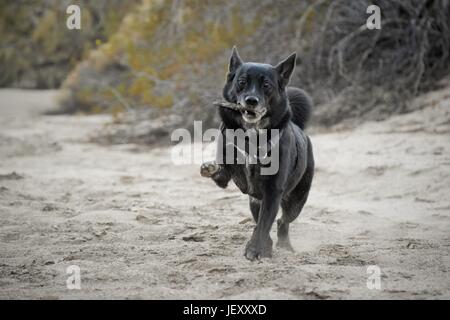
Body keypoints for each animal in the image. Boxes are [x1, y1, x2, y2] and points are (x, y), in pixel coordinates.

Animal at [200, 48, 312, 262]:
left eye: (266, 85)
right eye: (242, 82)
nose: (251, 101)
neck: (252, 136)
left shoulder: (273, 191)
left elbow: (264, 224)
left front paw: (255, 250)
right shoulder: (227, 175)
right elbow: (222, 171)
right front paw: (210, 167)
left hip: (296, 200)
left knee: (281, 221)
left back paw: (283, 246)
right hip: (255, 202)